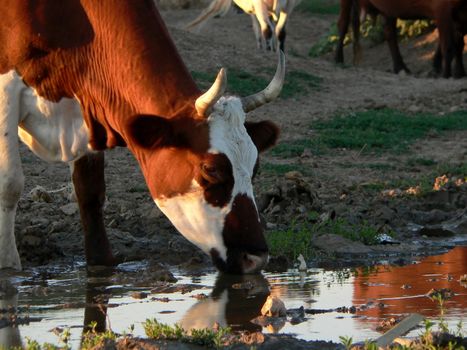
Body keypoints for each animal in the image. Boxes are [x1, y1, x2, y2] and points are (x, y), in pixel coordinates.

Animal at [0, 0, 286, 276]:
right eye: (211, 169)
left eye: (255, 168)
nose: (256, 258)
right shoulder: (6, 87)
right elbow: (10, 184)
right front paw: (8, 267)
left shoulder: (88, 105)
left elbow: (90, 190)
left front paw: (100, 264)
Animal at [336, 0, 467, 77]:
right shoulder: (442, 10)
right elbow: (448, 47)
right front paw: (446, 75)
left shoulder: (460, 14)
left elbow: (459, 45)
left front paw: (459, 72)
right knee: (343, 24)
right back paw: (338, 59)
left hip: (388, 9)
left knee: (389, 33)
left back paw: (400, 67)